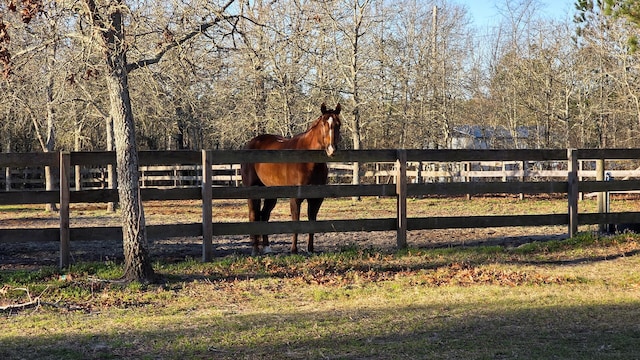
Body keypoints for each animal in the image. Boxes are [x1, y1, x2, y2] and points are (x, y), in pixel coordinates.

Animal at [240, 102, 340, 255]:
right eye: (324, 124)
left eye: (338, 124)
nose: (332, 149)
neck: (308, 161)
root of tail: (251, 143)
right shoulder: (295, 198)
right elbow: (295, 222)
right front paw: (294, 250)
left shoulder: (316, 199)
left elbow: (312, 223)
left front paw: (310, 249)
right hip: (253, 191)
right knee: (253, 215)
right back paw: (255, 250)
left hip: (271, 193)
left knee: (264, 215)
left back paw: (267, 248)